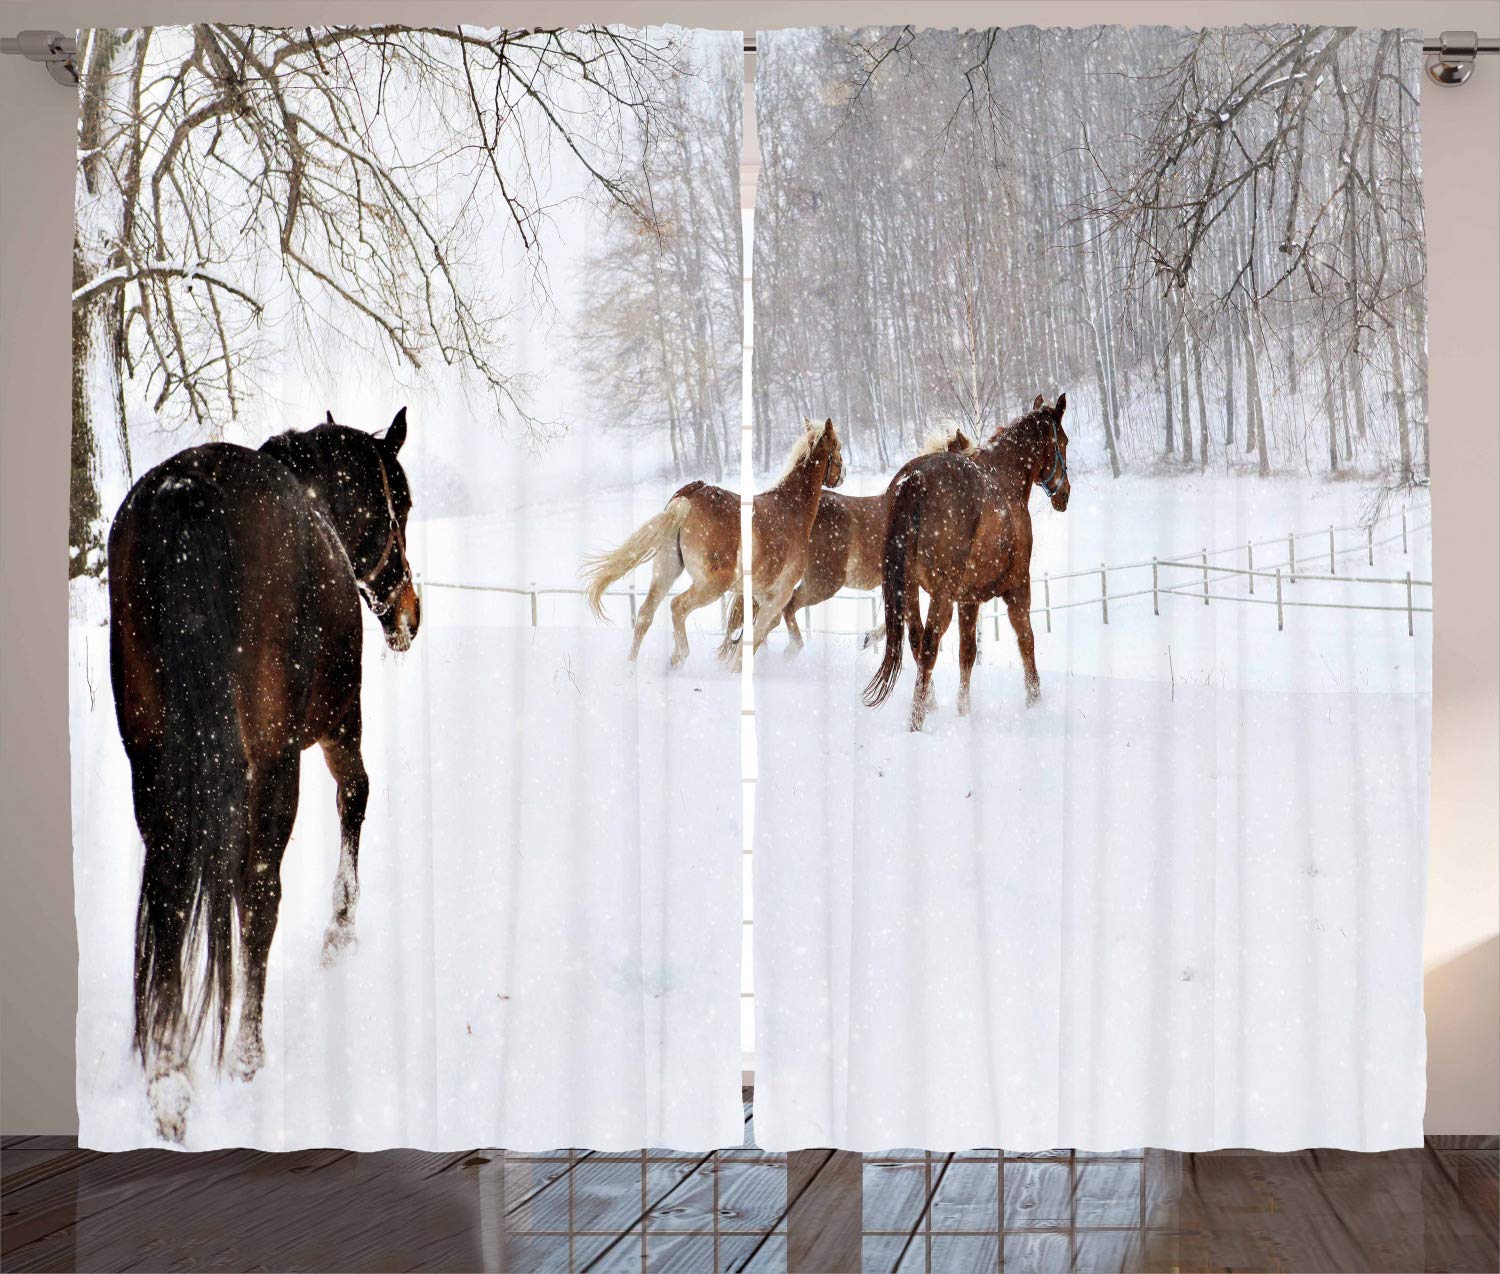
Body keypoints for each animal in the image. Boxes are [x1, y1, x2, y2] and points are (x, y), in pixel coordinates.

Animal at [107, 407, 420, 1142]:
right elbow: (357, 797)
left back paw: (169, 1080)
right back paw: (246, 1054)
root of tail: (185, 493)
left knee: (169, 894)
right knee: (258, 893)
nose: (409, 614)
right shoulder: (338, 724)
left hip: (153, 765)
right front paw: (340, 931)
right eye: (402, 506)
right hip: (276, 764)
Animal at [583, 418, 844, 666]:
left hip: (666, 569)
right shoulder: (778, 595)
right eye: (838, 447)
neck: (792, 510)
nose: (841, 476)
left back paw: (632, 665)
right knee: (678, 606)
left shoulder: (761, 595)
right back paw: (678, 658)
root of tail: (691, 495)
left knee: (645, 614)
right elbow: (756, 635)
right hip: (712, 584)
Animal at [863, 394, 1070, 731]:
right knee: (929, 645)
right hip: (941, 596)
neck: (1005, 477)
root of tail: (914, 479)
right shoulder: (1018, 588)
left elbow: (967, 654)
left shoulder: (968, 600)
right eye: (1062, 442)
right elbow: (1026, 641)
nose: (1065, 493)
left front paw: (964, 711)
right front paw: (1035, 702)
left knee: (916, 640)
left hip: (909, 588)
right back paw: (916, 720)